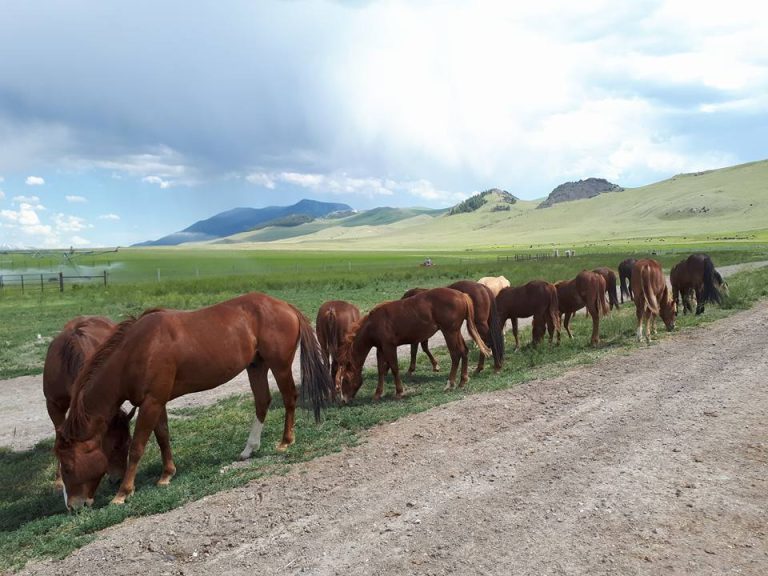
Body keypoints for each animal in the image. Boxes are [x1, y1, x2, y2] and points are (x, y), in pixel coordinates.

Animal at [43, 316, 134, 489]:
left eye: (129, 442)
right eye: (115, 446)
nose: (118, 479)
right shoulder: (53, 405)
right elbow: (59, 436)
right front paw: (59, 479)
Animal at [55, 293, 333, 509]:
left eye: (67, 466)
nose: (73, 506)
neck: (136, 351)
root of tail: (285, 305)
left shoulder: (151, 402)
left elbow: (138, 447)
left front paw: (123, 493)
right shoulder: (157, 401)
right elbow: (162, 436)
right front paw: (167, 475)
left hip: (280, 365)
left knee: (288, 397)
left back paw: (285, 441)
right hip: (257, 365)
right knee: (262, 402)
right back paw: (249, 449)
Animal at [336, 287, 492, 401]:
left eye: (346, 380)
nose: (344, 400)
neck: (373, 323)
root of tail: (462, 295)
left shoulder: (389, 346)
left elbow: (394, 368)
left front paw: (399, 392)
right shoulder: (380, 349)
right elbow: (381, 370)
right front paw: (377, 394)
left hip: (449, 332)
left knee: (455, 354)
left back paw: (450, 383)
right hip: (455, 332)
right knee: (464, 351)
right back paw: (463, 380)